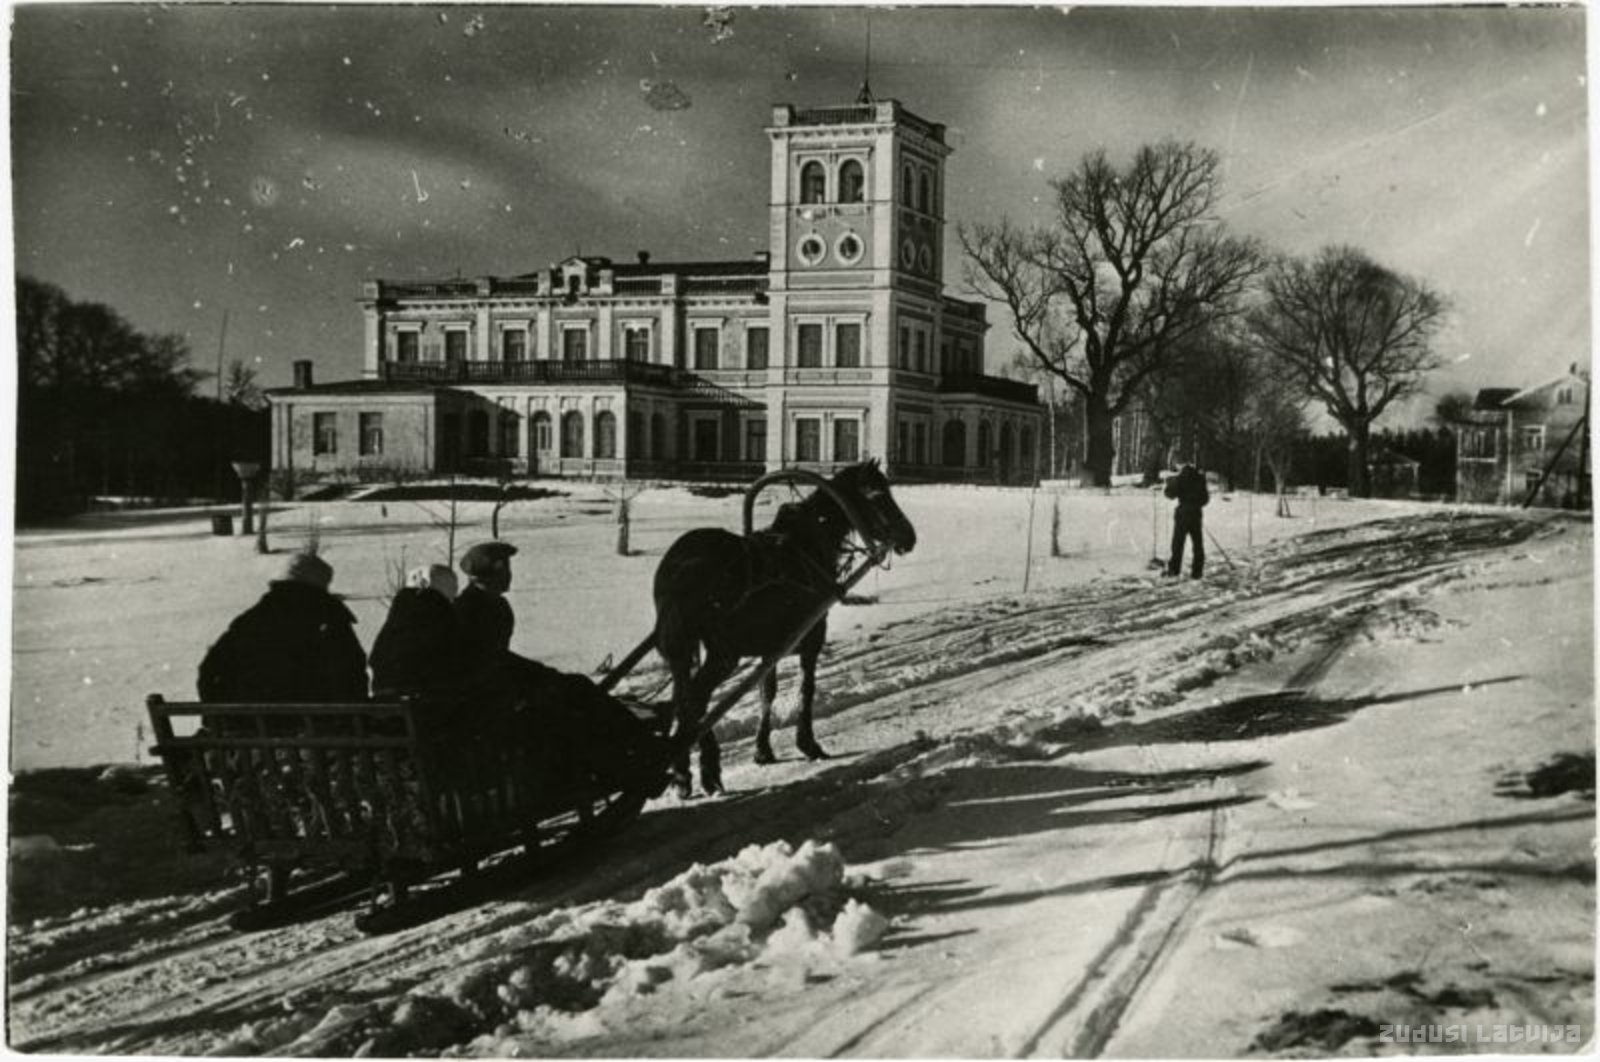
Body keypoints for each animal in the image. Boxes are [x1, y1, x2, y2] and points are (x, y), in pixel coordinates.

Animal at [651, 460, 917, 796]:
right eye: (879, 495)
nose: (909, 536)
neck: (808, 541)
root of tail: (679, 568)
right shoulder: (811, 635)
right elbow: (806, 687)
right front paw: (808, 743)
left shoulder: (773, 646)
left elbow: (768, 691)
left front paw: (762, 750)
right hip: (723, 654)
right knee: (695, 701)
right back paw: (708, 770)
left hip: (682, 652)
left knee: (682, 697)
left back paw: (682, 772)